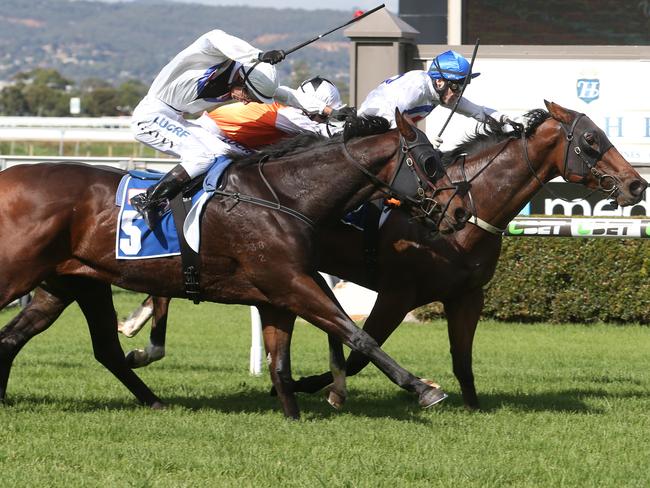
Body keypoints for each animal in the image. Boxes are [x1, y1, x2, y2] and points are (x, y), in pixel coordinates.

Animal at [0, 110, 460, 420]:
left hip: (71, 282)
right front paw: (423, 389)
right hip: (20, 273)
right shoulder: (291, 282)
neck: (285, 197)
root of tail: (8, 178)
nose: (456, 212)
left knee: (44, 341)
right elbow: (357, 334)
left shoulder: (279, 294)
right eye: (430, 162)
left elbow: (281, 363)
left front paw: (294, 414)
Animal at [112, 102, 644, 408]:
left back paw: (138, 330)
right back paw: (140, 333)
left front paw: (474, 407)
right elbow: (361, 353)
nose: (637, 184)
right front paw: (321, 389)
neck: (470, 206)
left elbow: (463, 360)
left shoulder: (466, 296)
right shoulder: (397, 293)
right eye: (592, 139)